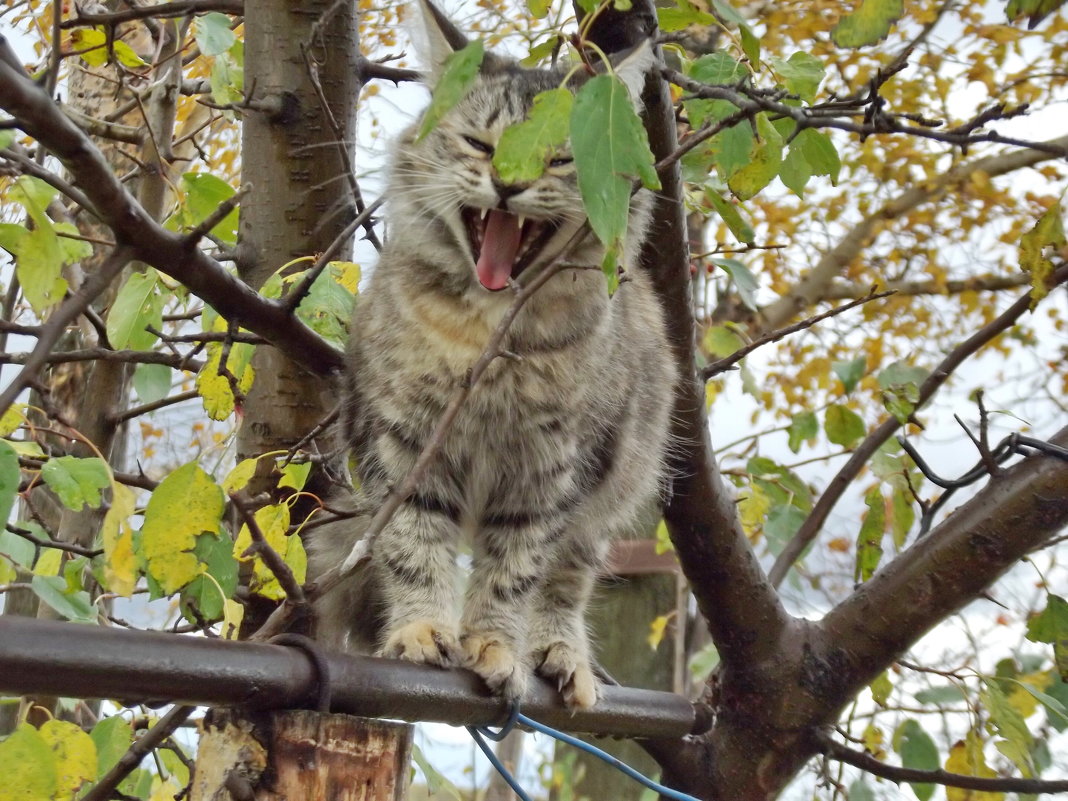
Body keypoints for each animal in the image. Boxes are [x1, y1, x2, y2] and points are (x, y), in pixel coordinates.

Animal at [309, 0, 674, 713]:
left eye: (560, 159)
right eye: (481, 145)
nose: (508, 185)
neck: (484, 339)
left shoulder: (550, 470)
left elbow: (514, 573)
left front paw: (495, 648)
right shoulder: (404, 445)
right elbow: (414, 549)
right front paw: (422, 632)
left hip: (606, 499)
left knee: (565, 585)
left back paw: (561, 656)